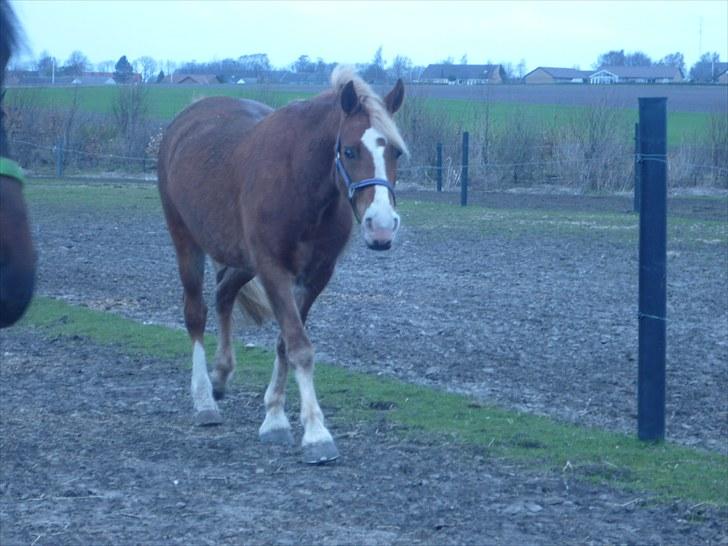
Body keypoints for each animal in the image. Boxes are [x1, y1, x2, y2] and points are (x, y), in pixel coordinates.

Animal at [158, 66, 407, 464]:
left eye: (396, 151)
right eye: (350, 150)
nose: (381, 226)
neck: (301, 183)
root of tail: (186, 118)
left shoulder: (315, 276)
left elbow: (284, 343)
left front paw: (274, 417)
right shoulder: (273, 269)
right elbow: (299, 347)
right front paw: (316, 434)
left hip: (242, 259)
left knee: (224, 294)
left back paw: (220, 376)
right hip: (186, 240)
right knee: (195, 313)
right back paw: (204, 400)